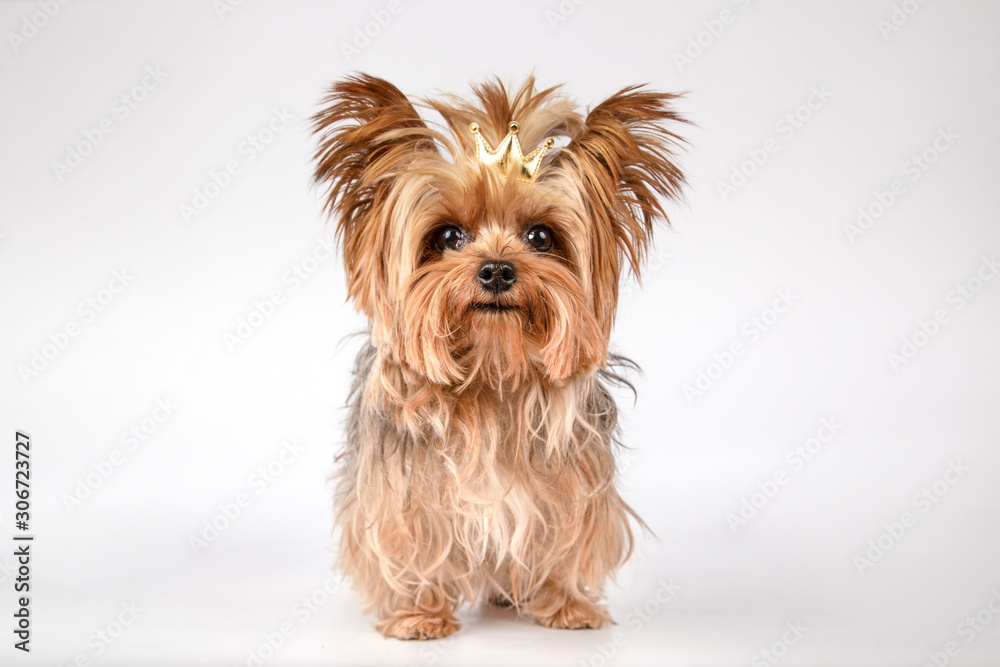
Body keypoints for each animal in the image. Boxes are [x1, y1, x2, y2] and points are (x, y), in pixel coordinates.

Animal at [312, 74, 688, 640]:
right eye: (448, 236)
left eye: (540, 236)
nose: (495, 270)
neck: (491, 374)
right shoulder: (402, 494)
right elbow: (411, 542)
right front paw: (420, 613)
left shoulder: (574, 483)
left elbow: (569, 537)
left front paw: (565, 604)